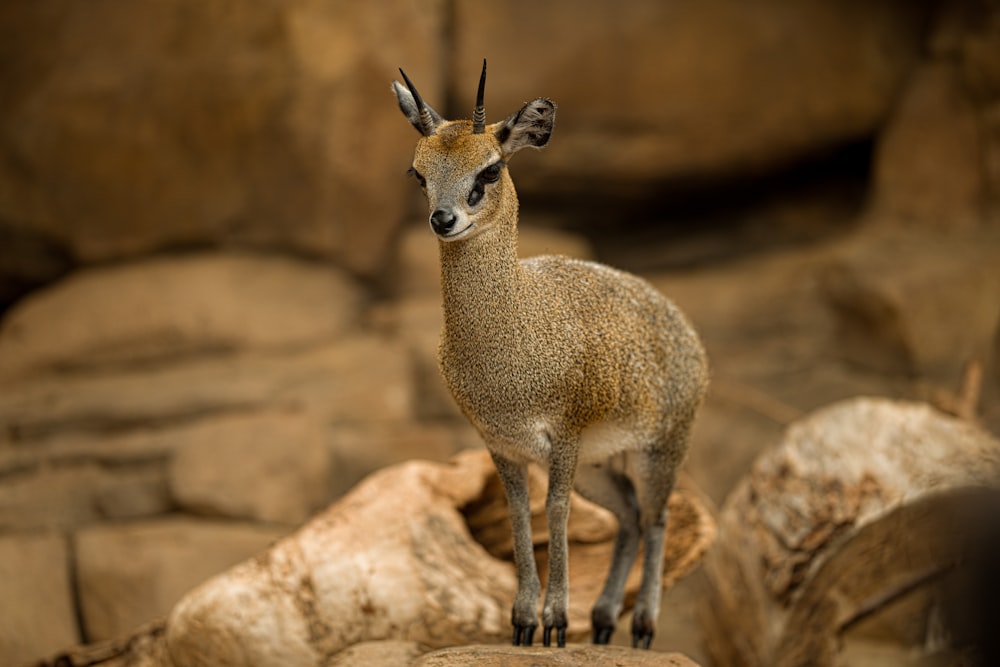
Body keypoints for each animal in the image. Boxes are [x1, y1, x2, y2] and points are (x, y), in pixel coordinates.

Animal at [392, 61, 712, 648]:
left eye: (490, 170)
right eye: (418, 173)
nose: (443, 219)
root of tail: (681, 325)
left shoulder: (563, 436)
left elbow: (556, 513)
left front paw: (557, 622)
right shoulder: (502, 445)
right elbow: (522, 517)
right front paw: (523, 623)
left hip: (659, 451)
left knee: (658, 519)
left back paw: (642, 627)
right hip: (603, 465)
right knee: (630, 518)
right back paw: (604, 622)